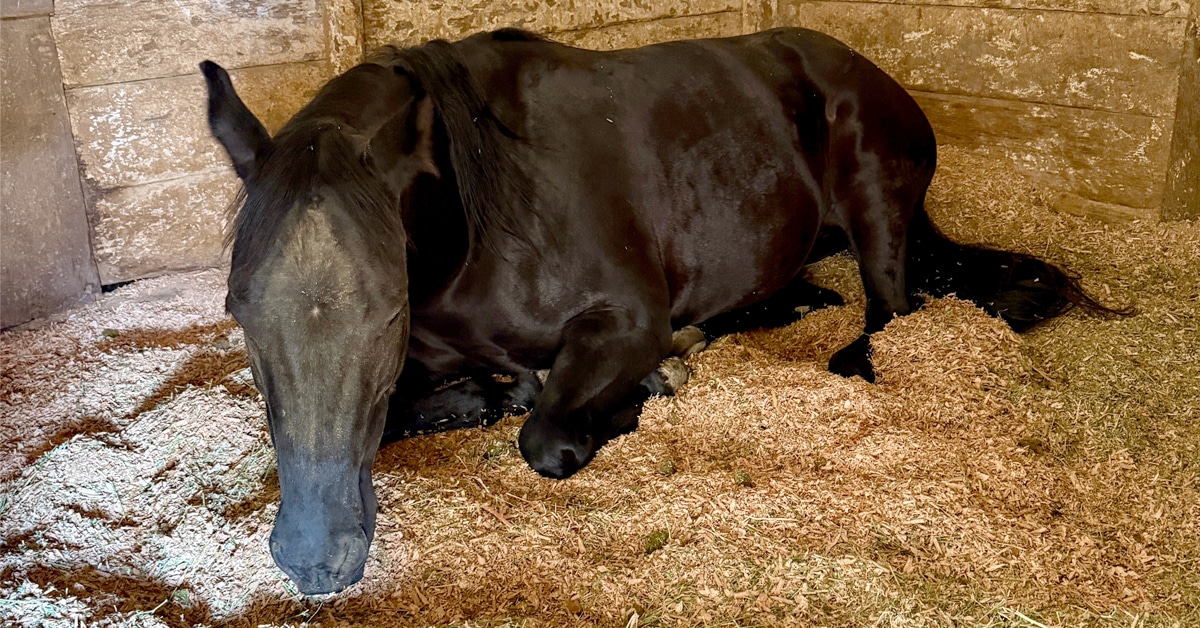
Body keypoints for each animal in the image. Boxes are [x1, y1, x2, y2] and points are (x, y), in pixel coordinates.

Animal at [200, 27, 1120, 595]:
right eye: (238, 310)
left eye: (388, 310)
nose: (316, 559)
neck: (477, 223)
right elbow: (411, 414)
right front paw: (491, 392)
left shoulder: (626, 321)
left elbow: (546, 437)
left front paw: (625, 400)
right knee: (806, 294)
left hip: (876, 202)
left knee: (888, 316)